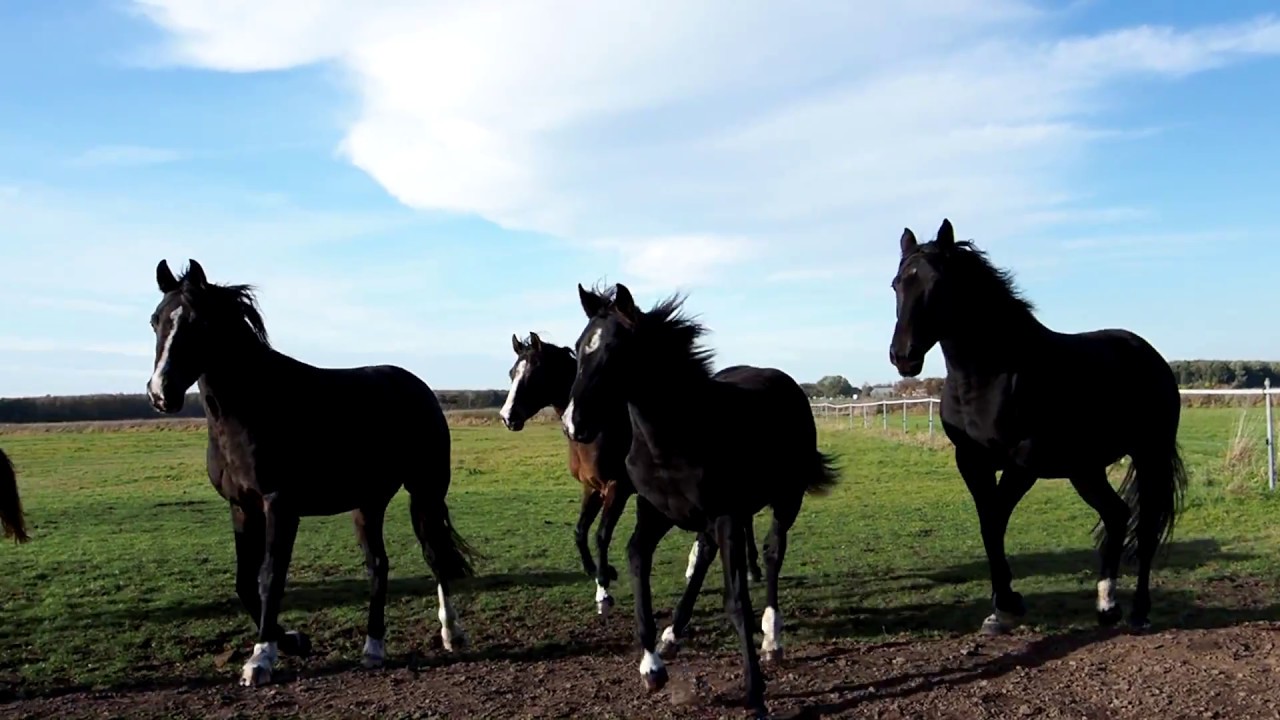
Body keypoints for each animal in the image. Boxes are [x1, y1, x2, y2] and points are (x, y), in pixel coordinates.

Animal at [147, 259, 476, 687]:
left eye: (198, 322)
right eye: (156, 320)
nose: (160, 393)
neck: (254, 405)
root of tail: (418, 388)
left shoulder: (280, 506)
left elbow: (269, 577)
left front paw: (262, 658)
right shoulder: (242, 507)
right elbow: (244, 582)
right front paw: (294, 641)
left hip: (425, 492)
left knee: (434, 555)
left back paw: (451, 632)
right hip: (368, 503)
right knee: (378, 566)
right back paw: (373, 648)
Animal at [498, 332, 764, 617]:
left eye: (534, 373)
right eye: (512, 373)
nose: (507, 417)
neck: (601, 426)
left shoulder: (618, 488)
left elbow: (601, 535)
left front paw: (603, 590)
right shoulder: (592, 488)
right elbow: (580, 531)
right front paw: (597, 571)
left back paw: (751, 568)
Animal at [562, 283, 839, 718]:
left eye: (614, 350)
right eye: (578, 347)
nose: (574, 424)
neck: (673, 439)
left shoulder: (726, 516)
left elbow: (737, 601)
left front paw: (756, 695)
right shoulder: (654, 513)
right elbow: (638, 560)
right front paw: (651, 667)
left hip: (785, 499)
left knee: (773, 553)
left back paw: (772, 640)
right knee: (705, 556)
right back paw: (673, 636)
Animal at [889, 218, 1187, 634]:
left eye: (937, 284)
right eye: (897, 284)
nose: (903, 356)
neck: (991, 375)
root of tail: (1150, 355)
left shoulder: (1023, 464)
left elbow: (995, 521)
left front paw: (1009, 604)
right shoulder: (972, 462)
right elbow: (988, 524)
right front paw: (1000, 610)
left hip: (1149, 455)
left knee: (1145, 529)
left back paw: (1138, 612)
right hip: (1085, 468)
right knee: (1116, 515)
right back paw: (1106, 606)